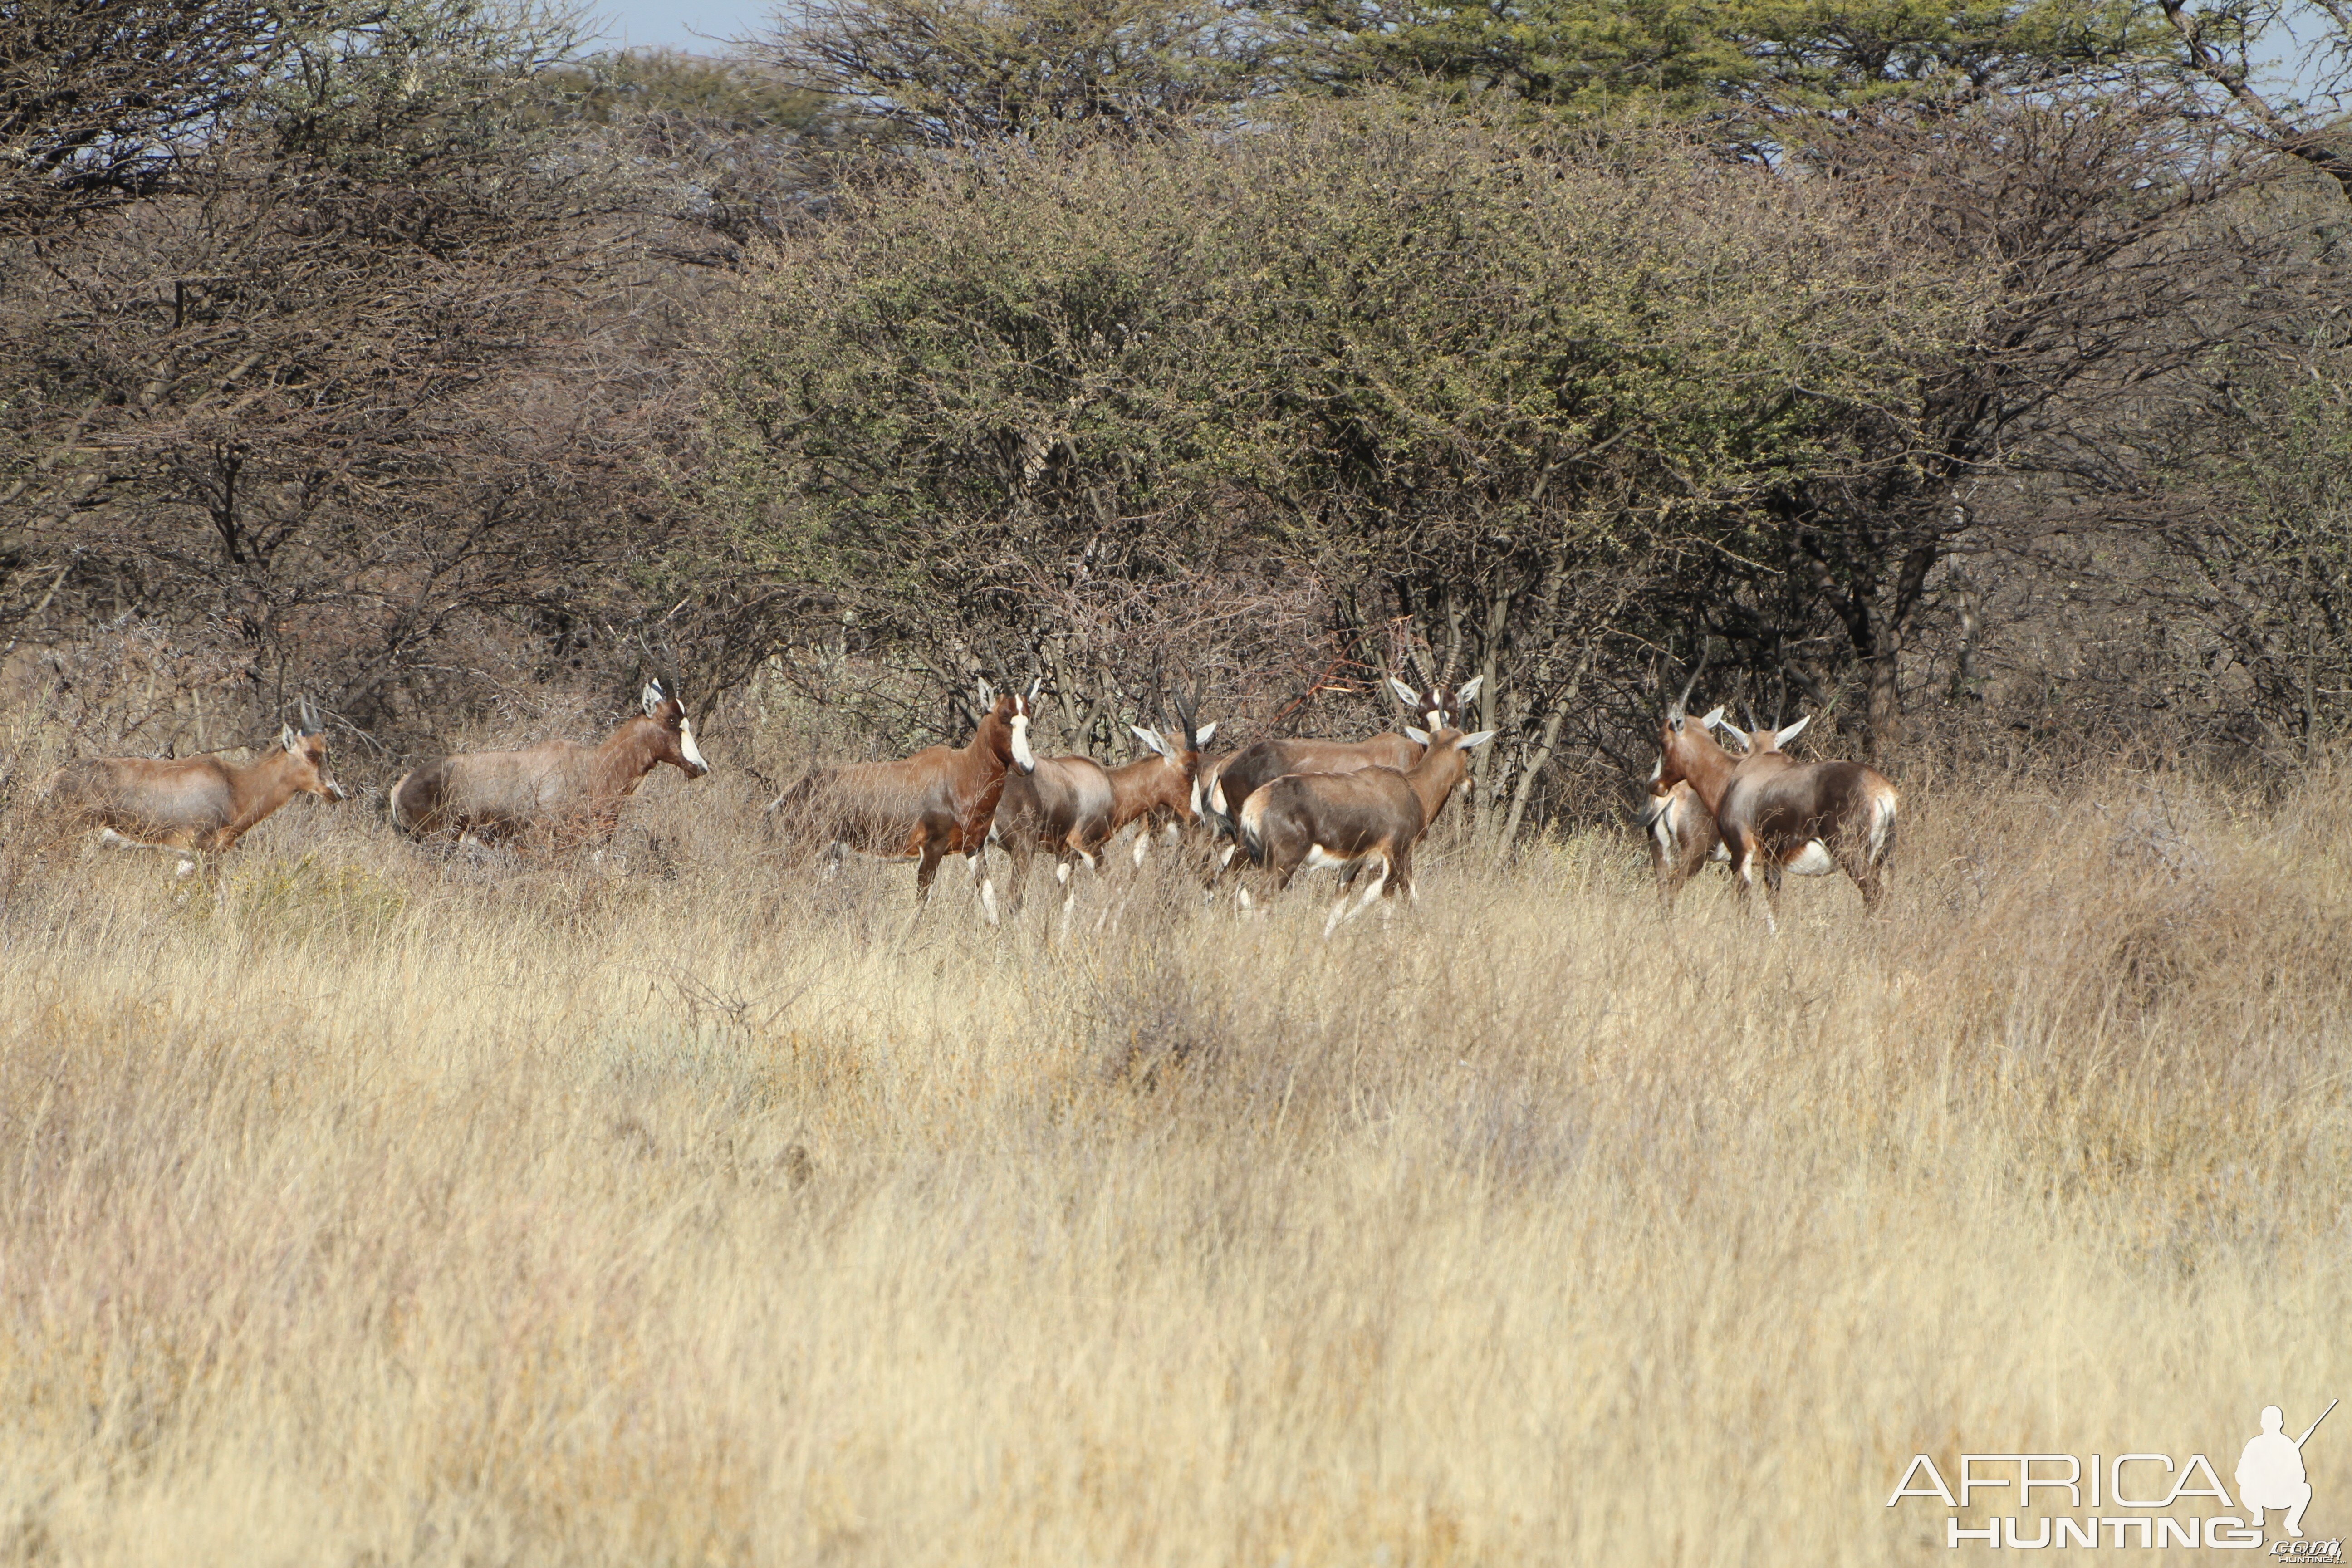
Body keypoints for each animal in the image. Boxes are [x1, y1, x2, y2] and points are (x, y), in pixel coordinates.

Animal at [49, 705, 348, 879]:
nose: (337, 794)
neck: (232, 784)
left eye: (326, 751)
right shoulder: (208, 853)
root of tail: (59, 778)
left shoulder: (187, 858)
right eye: (311, 753)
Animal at [762, 677, 1039, 921]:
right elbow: (920, 903)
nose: (1027, 766)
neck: (961, 771)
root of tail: (792, 792)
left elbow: (989, 900)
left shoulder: (974, 847)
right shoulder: (932, 850)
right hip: (803, 848)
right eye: (1005, 717)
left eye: (1027, 718)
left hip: (832, 855)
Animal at [1232, 724, 1486, 931]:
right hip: (1284, 862)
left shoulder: (1355, 863)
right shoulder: (1398, 855)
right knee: (1261, 899)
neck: (1410, 787)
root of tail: (1255, 804)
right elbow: (1401, 899)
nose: (1469, 784)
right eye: (1468, 750)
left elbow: (1342, 906)